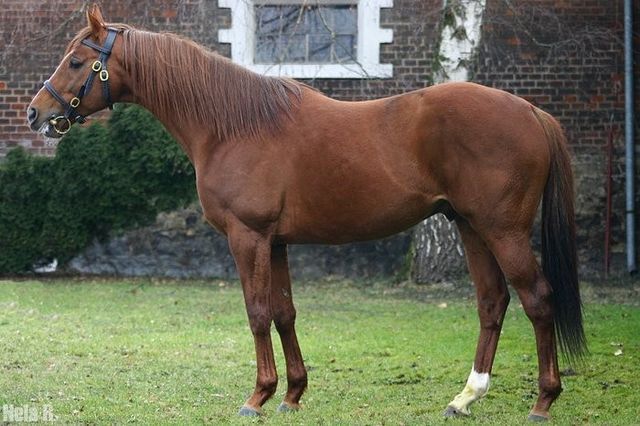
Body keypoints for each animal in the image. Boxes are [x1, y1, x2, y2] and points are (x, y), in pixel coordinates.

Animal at [27, 5, 586, 421]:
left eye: (76, 61)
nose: (37, 112)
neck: (233, 125)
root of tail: (530, 110)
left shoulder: (247, 237)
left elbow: (256, 313)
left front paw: (257, 396)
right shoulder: (275, 242)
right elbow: (284, 313)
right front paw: (293, 394)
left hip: (502, 229)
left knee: (537, 299)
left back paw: (543, 400)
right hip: (470, 227)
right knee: (493, 303)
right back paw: (465, 398)